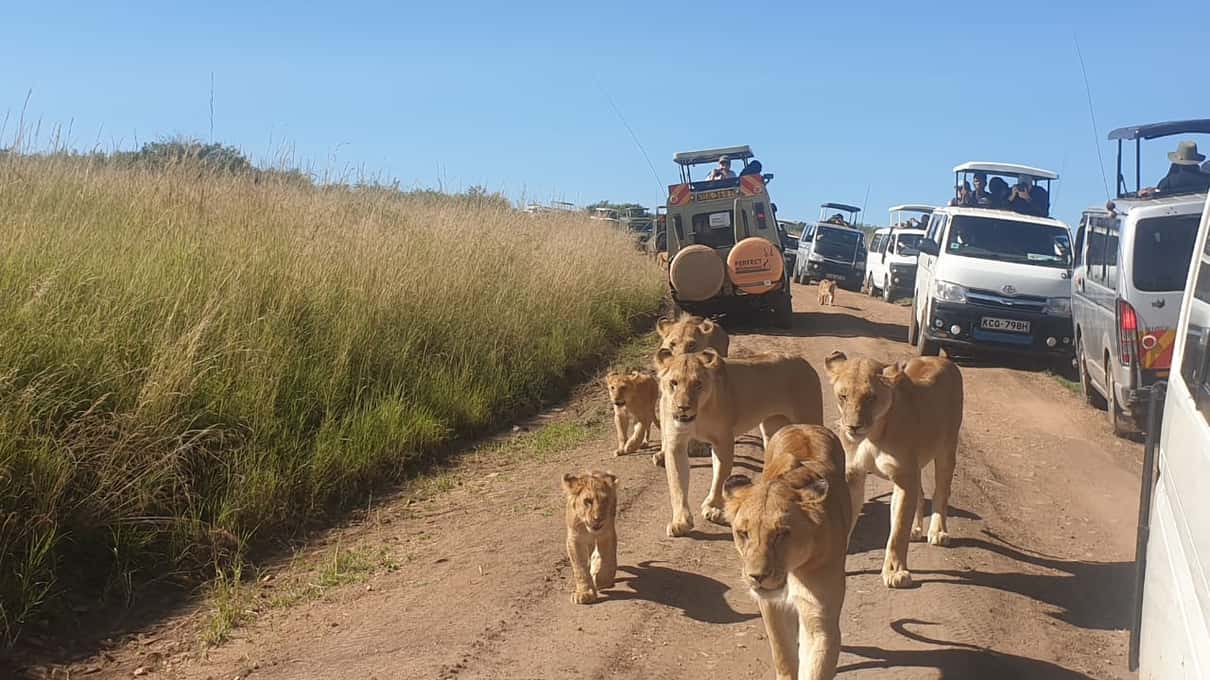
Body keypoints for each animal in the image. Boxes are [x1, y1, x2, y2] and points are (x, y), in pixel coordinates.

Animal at [562, 471, 619, 604]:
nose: (598, 519)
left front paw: (601, 581)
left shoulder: (607, 534)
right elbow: (580, 567)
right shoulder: (575, 539)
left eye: (605, 500)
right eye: (587, 501)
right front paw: (585, 593)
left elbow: (608, 560)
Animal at [654, 348, 824, 537]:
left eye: (698, 384)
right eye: (674, 383)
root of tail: (803, 361)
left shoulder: (723, 440)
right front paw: (680, 522)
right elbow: (677, 484)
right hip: (773, 428)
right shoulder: (676, 443)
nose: (683, 407)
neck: (698, 414)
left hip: (810, 418)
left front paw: (713, 508)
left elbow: (720, 477)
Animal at [723, 425, 851, 680]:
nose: (757, 576)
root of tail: (804, 425)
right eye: (743, 533)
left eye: (781, 534)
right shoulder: (771, 607)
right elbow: (782, 653)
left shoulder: (821, 617)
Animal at [824, 351, 963, 589]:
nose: (853, 427)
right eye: (843, 396)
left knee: (941, 493)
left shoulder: (903, 477)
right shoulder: (853, 476)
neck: (872, 435)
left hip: (947, 449)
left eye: (871, 397)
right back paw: (916, 530)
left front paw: (895, 572)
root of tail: (941, 358)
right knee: (922, 493)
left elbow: (897, 530)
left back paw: (938, 531)